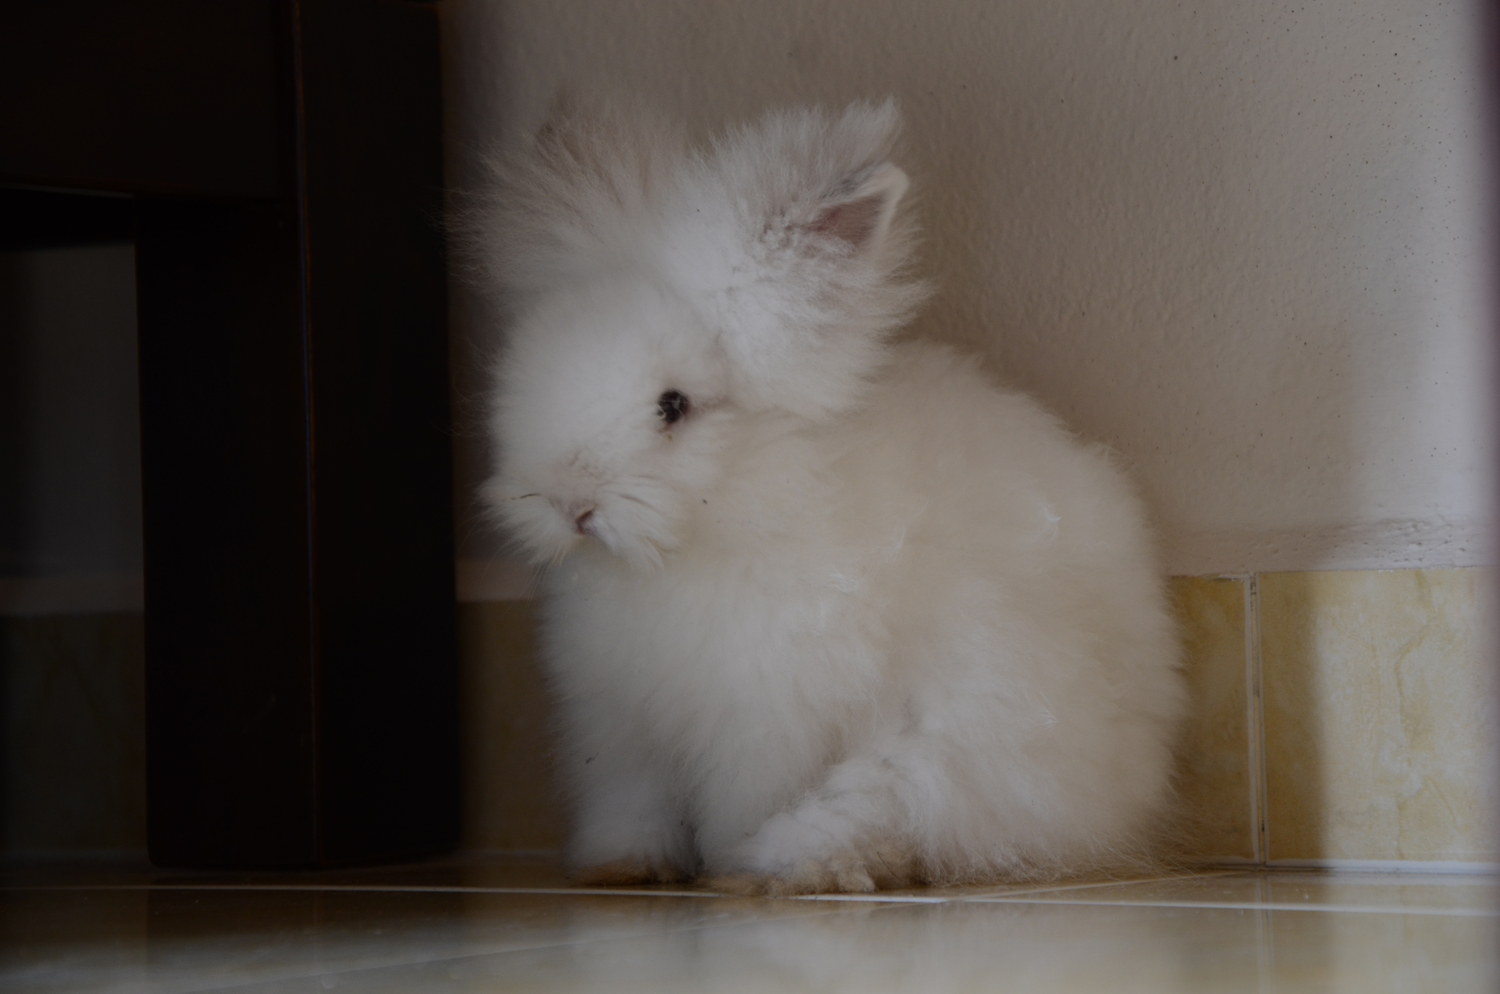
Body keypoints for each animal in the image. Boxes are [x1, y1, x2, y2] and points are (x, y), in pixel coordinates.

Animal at [467, 100, 1186, 894]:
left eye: (673, 405)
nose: (570, 505)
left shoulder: (766, 718)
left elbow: (739, 798)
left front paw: (723, 869)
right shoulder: (618, 725)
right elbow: (630, 799)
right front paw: (619, 867)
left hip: (963, 742)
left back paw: (794, 861)